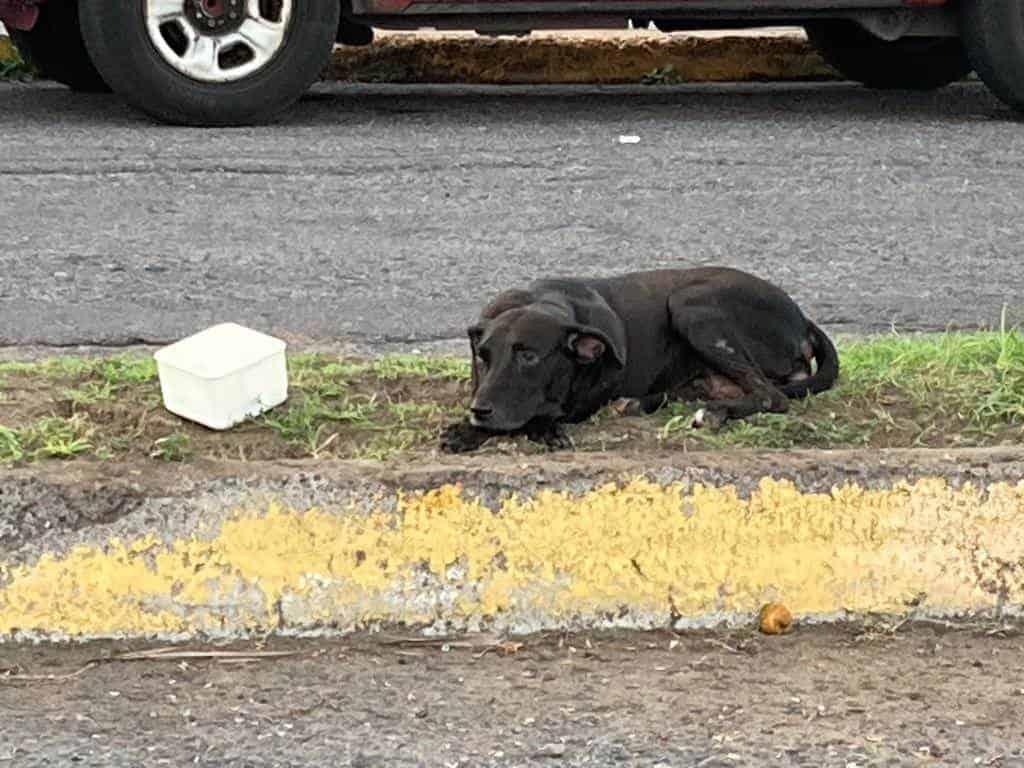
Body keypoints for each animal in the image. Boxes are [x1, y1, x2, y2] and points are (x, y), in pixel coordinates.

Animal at [438, 268, 831, 454]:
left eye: (529, 356)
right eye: (483, 357)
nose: (479, 410)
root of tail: (802, 319)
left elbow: (536, 416)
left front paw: (542, 430)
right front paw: (466, 430)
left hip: (693, 305)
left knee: (771, 396)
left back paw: (713, 412)